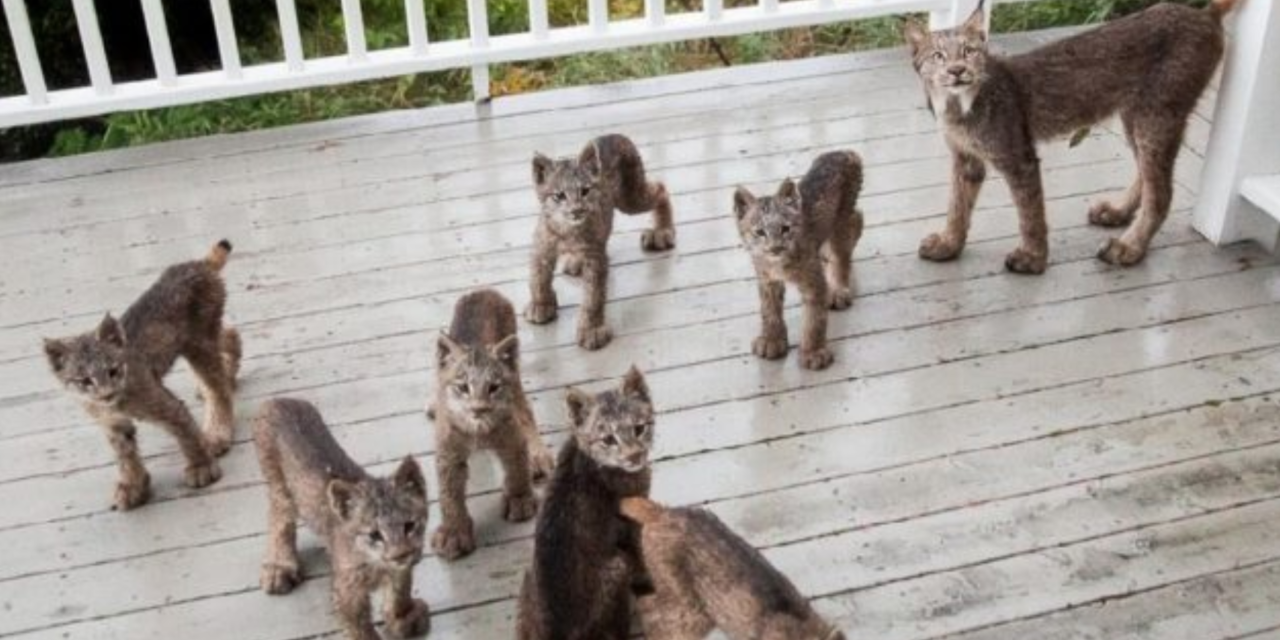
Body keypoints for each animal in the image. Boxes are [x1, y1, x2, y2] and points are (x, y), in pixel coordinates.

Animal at [42, 240, 241, 509]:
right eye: (84, 381)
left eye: (113, 370)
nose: (106, 394)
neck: (114, 402)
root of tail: (196, 263)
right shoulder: (113, 423)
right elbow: (124, 455)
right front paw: (133, 486)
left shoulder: (164, 404)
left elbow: (185, 432)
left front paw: (201, 467)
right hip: (199, 339)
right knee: (229, 335)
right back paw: (230, 370)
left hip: (198, 341)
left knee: (217, 388)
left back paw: (216, 433)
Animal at [906, 0, 1233, 272]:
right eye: (938, 56)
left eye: (969, 51)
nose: (957, 70)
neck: (956, 104)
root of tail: (1203, 13)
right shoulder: (965, 158)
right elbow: (957, 204)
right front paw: (949, 244)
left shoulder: (1018, 158)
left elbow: (1030, 213)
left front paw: (1033, 258)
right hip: (1137, 115)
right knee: (1148, 173)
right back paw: (1118, 212)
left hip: (1156, 114)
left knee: (1162, 192)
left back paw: (1129, 248)